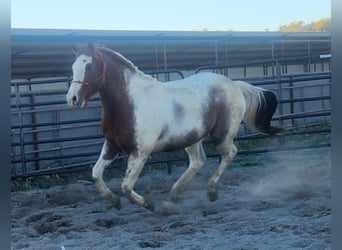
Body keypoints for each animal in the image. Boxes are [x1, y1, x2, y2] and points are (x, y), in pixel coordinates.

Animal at [67, 44, 284, 210]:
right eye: (73, 66)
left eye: (89, 66)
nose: (72, 99)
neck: (130, 103)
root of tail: (235, 85)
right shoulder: (111, 145)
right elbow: (96, 174)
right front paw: (114, 201)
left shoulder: (141, 152)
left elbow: (126, 186)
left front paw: (149, 204)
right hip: (192, 137)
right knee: (198, 161)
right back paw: (174, 195)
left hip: (222, 135)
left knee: (229, 153)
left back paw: (211, 192)